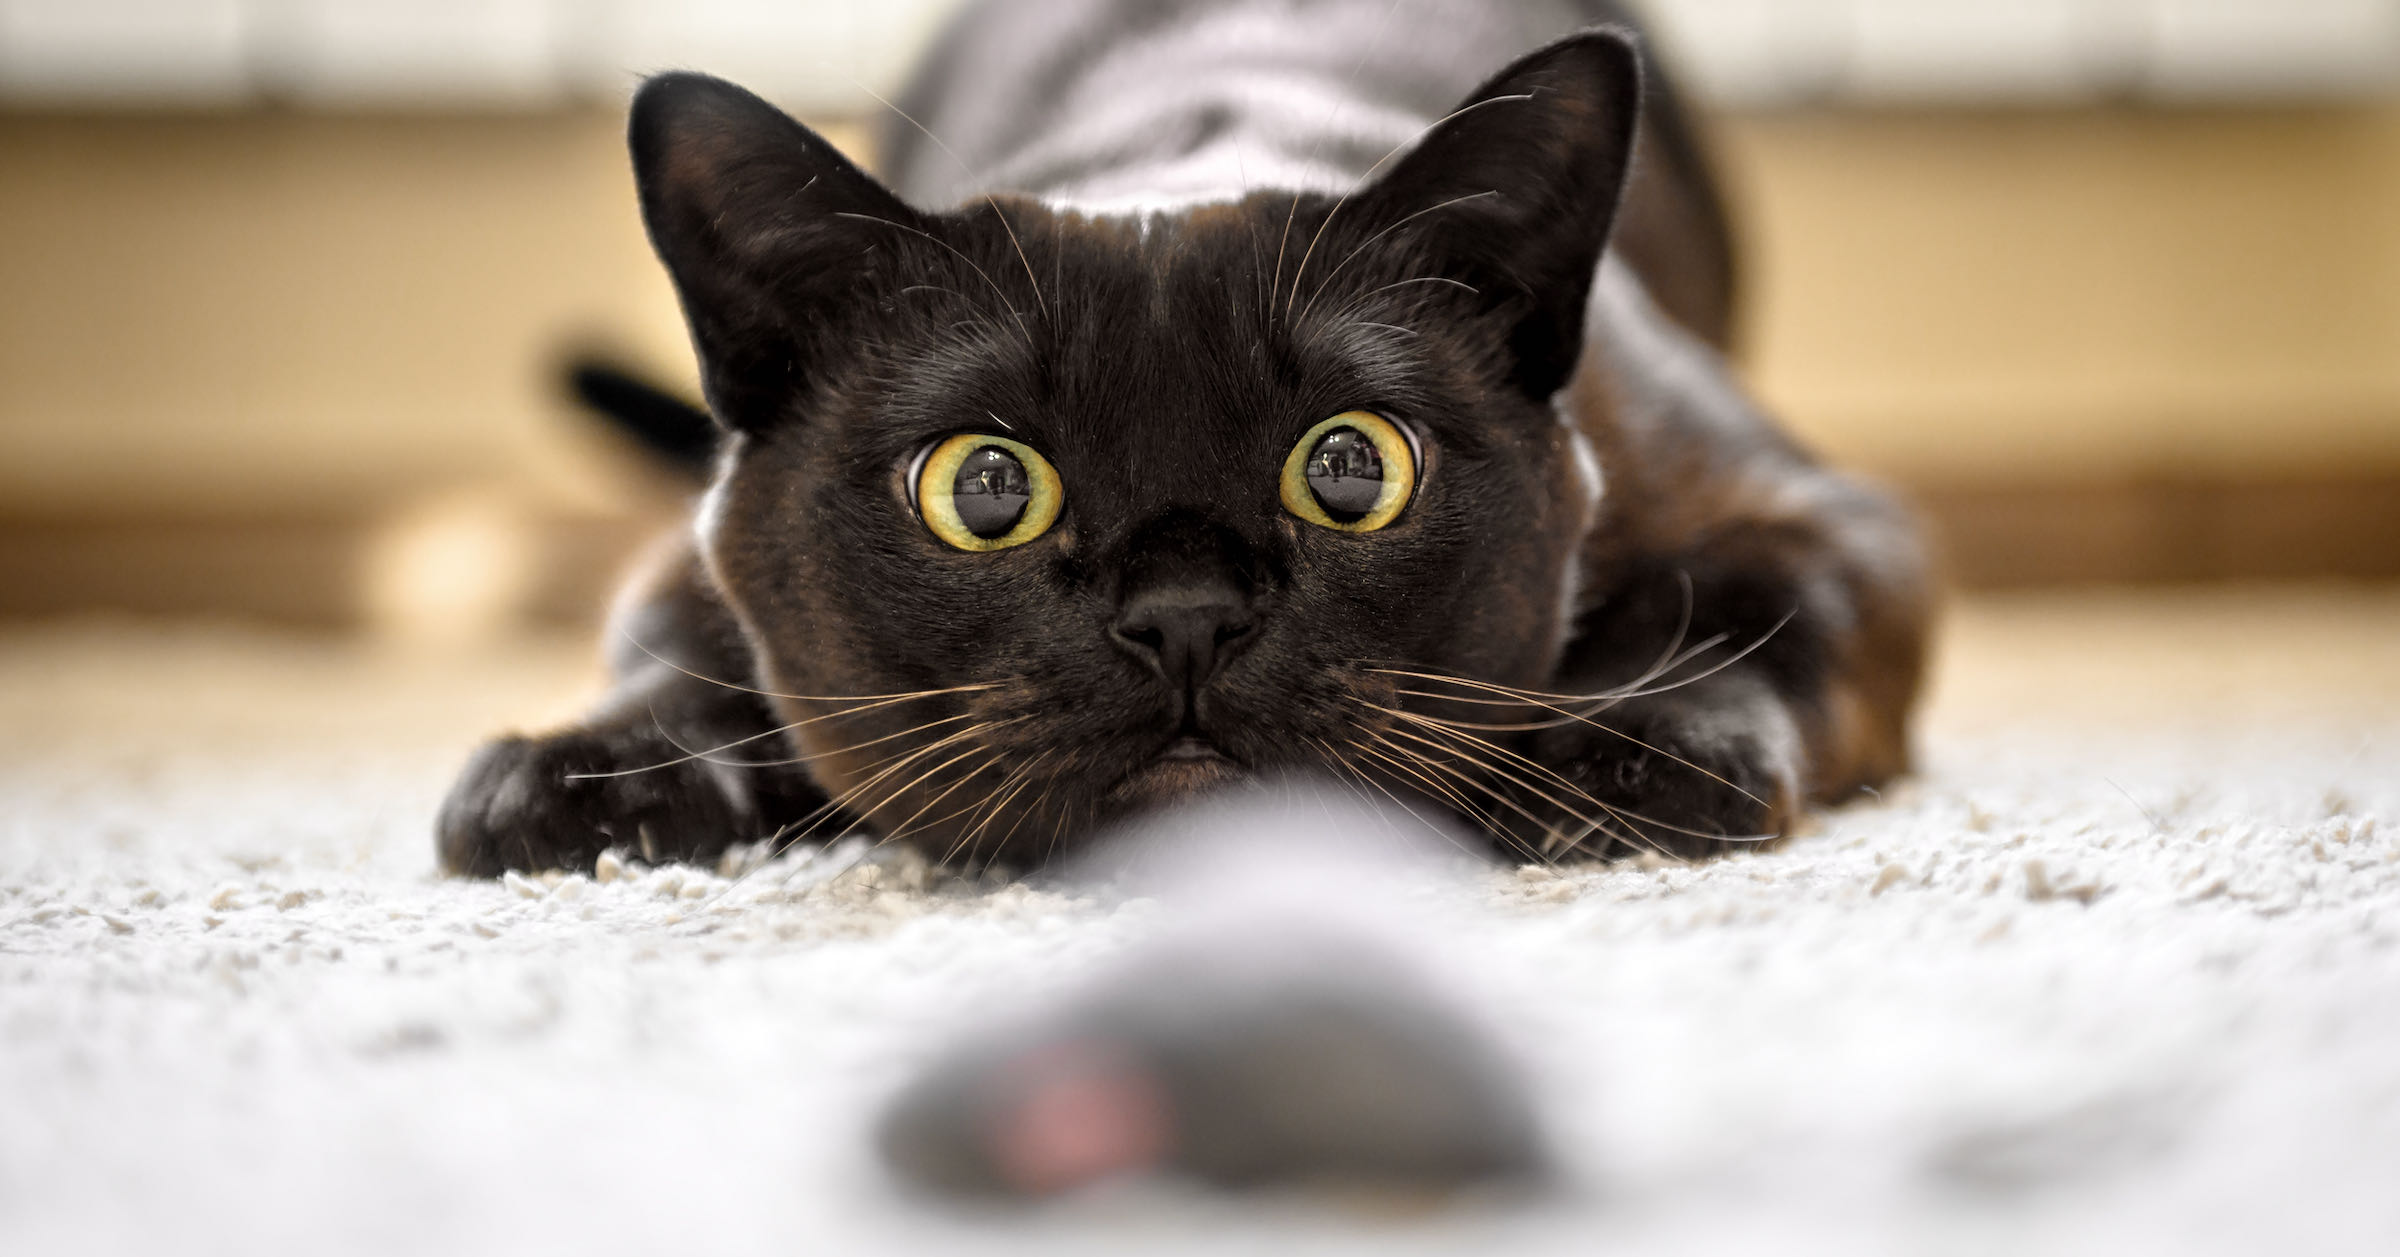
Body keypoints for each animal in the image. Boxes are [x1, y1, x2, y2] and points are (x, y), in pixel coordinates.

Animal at [436, 0, 1929, 877]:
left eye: (1351, 469)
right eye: (987, 490)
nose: (1186, 617)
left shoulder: (1817, 513)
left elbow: (1739, 617)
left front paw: (1624, 754)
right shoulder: (681, 558)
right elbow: (673, 655)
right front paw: (572, 784)